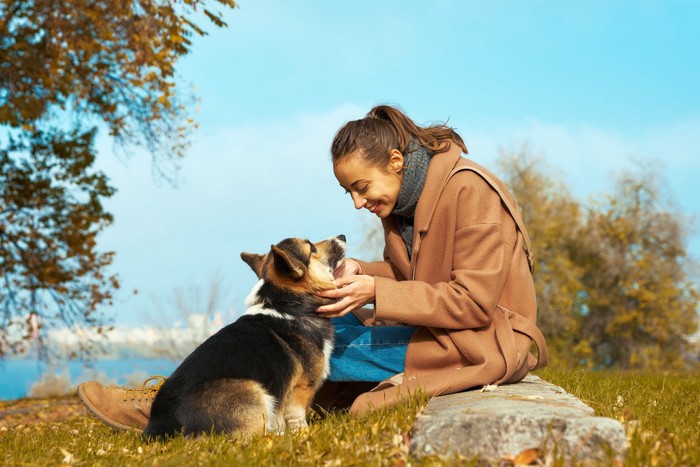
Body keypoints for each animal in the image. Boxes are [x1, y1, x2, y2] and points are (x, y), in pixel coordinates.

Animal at [144, 236, 346, 440]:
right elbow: (297, 416)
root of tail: (168, 425)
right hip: (256, 391)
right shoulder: (301, 388)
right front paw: (304, 434)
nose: (342, 237)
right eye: (311, 247)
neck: (292, 304)